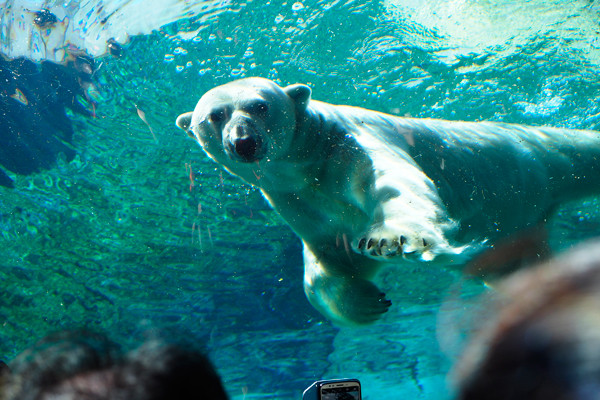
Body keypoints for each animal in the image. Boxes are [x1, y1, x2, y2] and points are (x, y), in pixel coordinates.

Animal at [177, 77, 600, 324]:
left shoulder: (349, 146)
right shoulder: (295, 201)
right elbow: (330, 260)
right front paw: (367, 303)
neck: (307, 157)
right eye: (215, 115)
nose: (244, 142)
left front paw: (389, 240)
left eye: (260, 106)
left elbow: (396, 186)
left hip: (542, 157)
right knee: (515, 266)